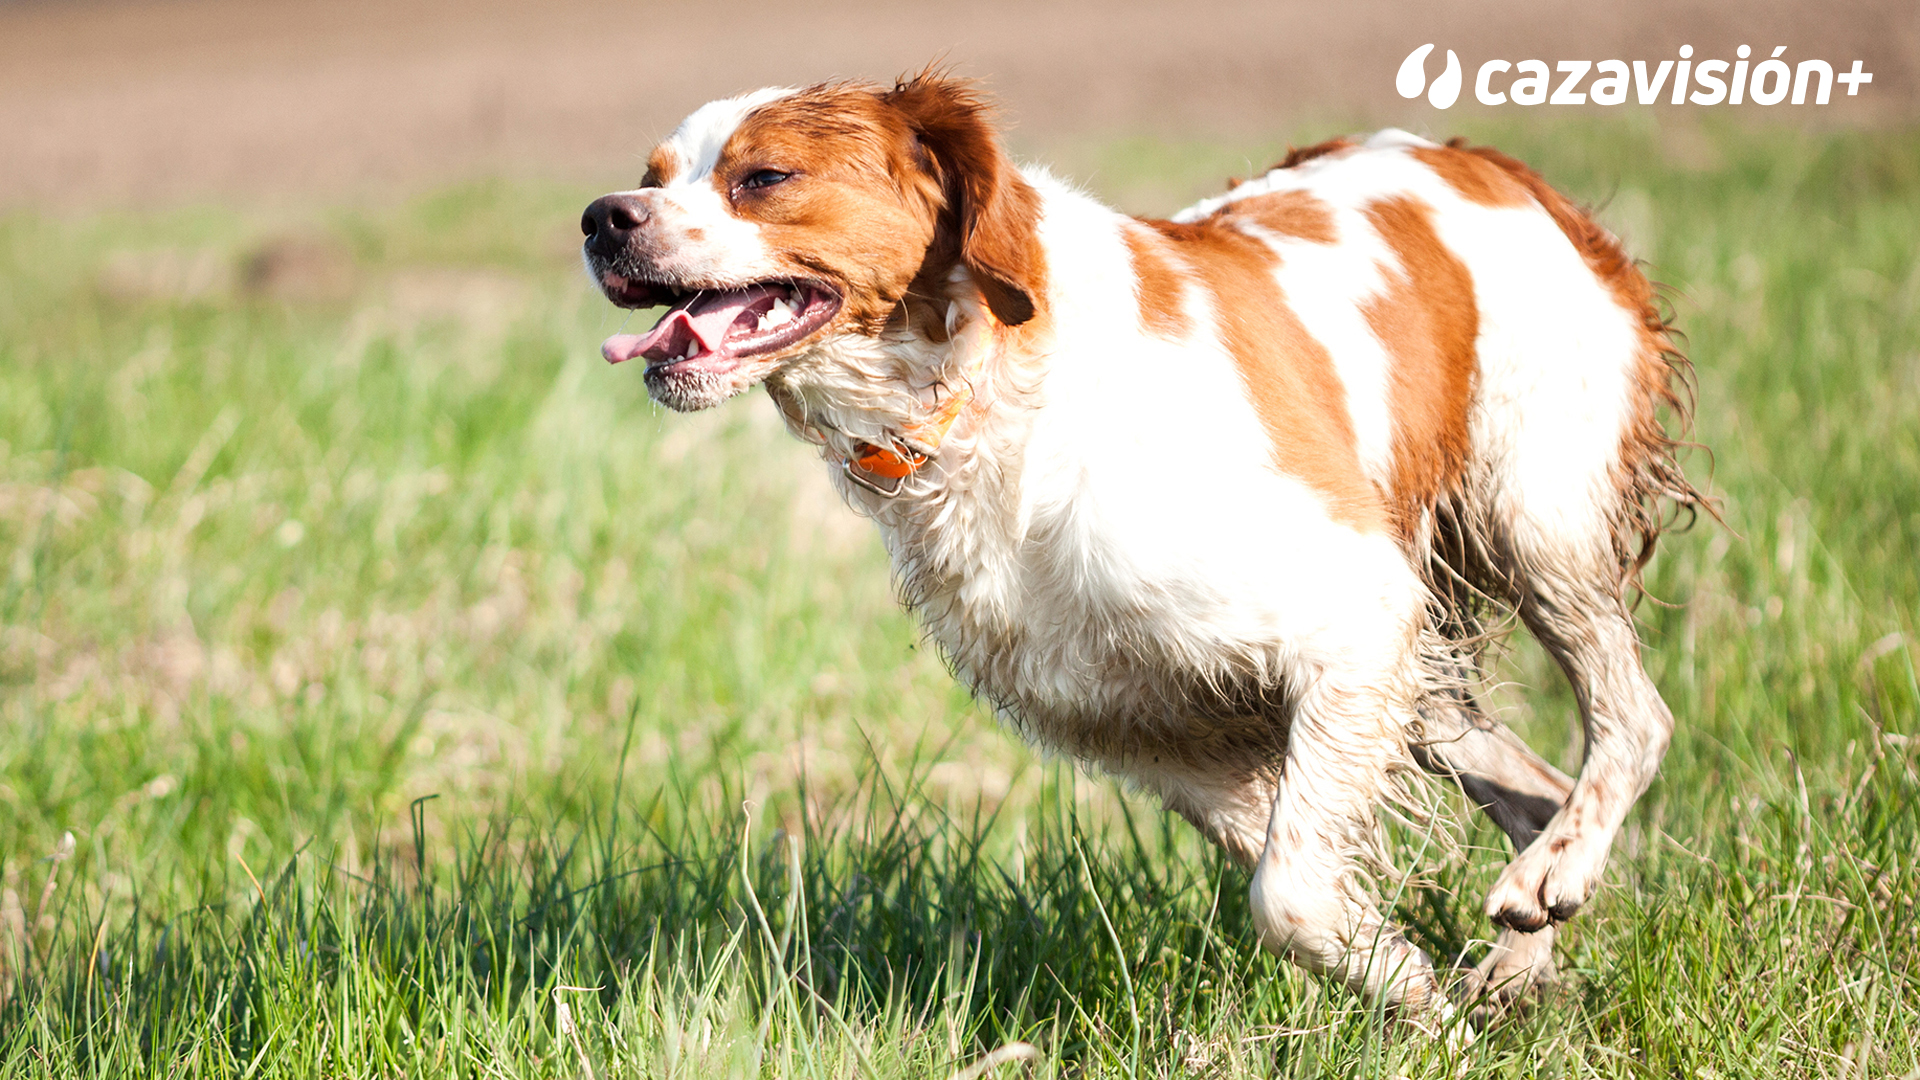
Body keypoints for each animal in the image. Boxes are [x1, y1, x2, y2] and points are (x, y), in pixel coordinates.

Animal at [579, 71, 1697, 1014]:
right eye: (653, 176)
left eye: (764, 177)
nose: (601, 219)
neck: (989, 386)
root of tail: (1491, 162)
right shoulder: (1160, 728)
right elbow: (1298, 882)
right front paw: (1419, 987)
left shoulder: (1354, 612)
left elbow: (1288, 893)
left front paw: (1424, 1010)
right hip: (1430, 672)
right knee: (1539, 788)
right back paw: (1521, 955)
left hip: (1536, 523)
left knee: (1637, 718)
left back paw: (1551, 880)